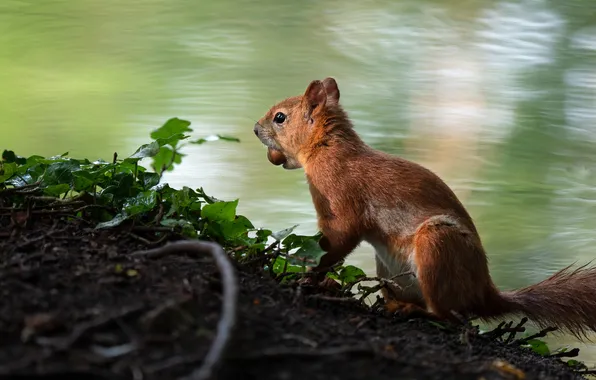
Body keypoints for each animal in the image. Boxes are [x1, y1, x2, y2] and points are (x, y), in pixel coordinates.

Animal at [253, 77, 596, 338]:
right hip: (390, 268)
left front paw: (308, 276)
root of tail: (484, 293)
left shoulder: (342, 200)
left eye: (280, 117)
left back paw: (414, 311)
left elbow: (336, 241)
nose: (256, 129)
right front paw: (321, 280)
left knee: (451, 317)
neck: (329, 148)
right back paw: (388, 303)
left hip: (437, 245)